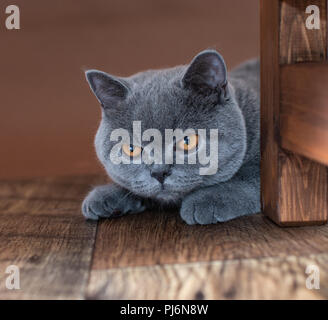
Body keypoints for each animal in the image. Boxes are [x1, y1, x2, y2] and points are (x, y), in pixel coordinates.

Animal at [81, 50, 258, 225]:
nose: (159, 173)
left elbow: (248, 177)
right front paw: (106, 195)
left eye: (187, 141)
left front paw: (207, 199)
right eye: (131, 149)